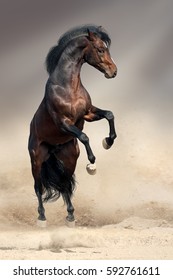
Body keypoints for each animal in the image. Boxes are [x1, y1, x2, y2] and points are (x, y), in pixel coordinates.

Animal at [28, 24, 117, 225]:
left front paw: (108, 142)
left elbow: (109, 114)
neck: (68, 87)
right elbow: (84, 136)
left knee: (65, 184)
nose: (113, 72)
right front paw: (92, 163)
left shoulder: (88, 113)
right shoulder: (64, 123)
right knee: (38, 187)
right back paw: (41, 218)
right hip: (36, 161)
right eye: (100, 49)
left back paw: (70, 216)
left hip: (70, 159)